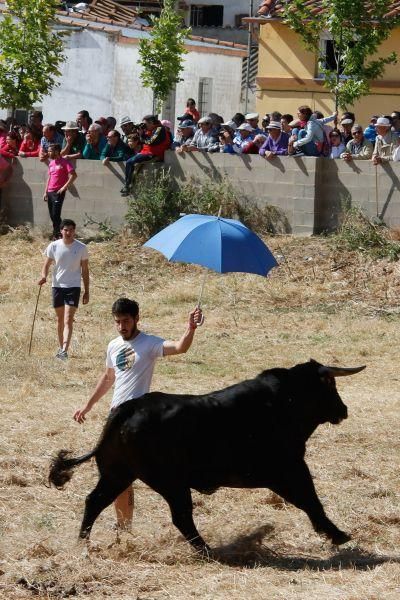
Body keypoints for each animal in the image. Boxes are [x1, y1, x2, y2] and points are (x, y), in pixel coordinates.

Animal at [48, 358, 364, 556]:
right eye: (330, 386)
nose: (344, 410)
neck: (284, 403)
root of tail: (128, 409)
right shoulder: (290, 469)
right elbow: (310, 500)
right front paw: (337, 534)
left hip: (118, 474)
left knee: (95, 501)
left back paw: (82, 543)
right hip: (170, 483)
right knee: (181, 516)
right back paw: (207, 550)